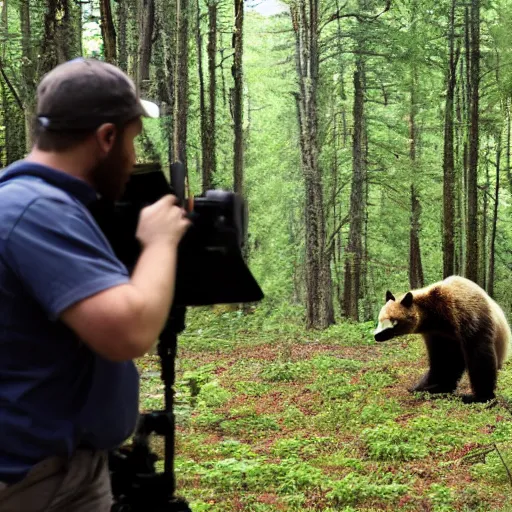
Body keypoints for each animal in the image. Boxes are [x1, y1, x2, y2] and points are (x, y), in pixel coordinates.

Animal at [372, 276, 512, 404]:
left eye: (393, 321)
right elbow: (443, 360)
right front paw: (427, 387)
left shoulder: (466, 314)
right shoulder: (438, 334)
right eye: (380, 319)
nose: (377, 336)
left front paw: (481, 396)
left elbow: (479, 354)